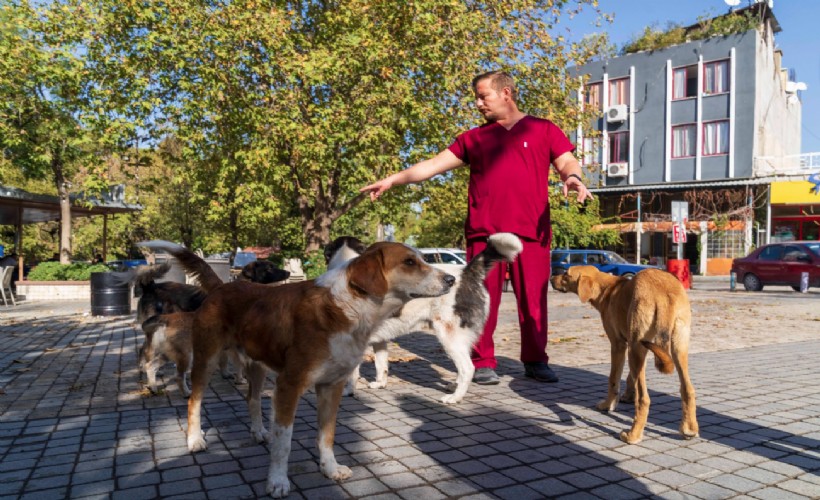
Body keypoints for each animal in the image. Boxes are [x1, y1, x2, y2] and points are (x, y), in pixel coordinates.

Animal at [142, 240, 454, 498]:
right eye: (409, 262)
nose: (451, 279)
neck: (348, 307)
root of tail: (222, 286)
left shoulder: (332, 386)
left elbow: (326, 435)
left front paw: (330, 469)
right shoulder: (289, 385)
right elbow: (285, 443)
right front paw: (278, 482)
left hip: (258, 366)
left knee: (252, 399)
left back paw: (259, 431)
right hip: (205, 360)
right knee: (194, 401)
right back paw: (195, 439)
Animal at [326, 233, 524, 402]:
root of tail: (466, 271)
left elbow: (351, 374)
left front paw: (348, 391)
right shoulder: (379, 340)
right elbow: (381, 365)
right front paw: (380, 384)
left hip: (449, 336)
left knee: (468, 368)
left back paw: (455, 397)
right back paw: (454, 386)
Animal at [552, 268, 700, 444]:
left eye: (566, 274)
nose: (551, 278)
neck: (608, 289)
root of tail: (664, 291)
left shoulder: (619, 345)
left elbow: (613, 380)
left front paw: (608, 405)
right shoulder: (640, 348)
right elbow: (630, 377)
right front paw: (628, 394)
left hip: (636, 347)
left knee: (644, 399)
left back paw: (632, 435)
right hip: (677, 348)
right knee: (688, 389)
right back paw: (689, 429)